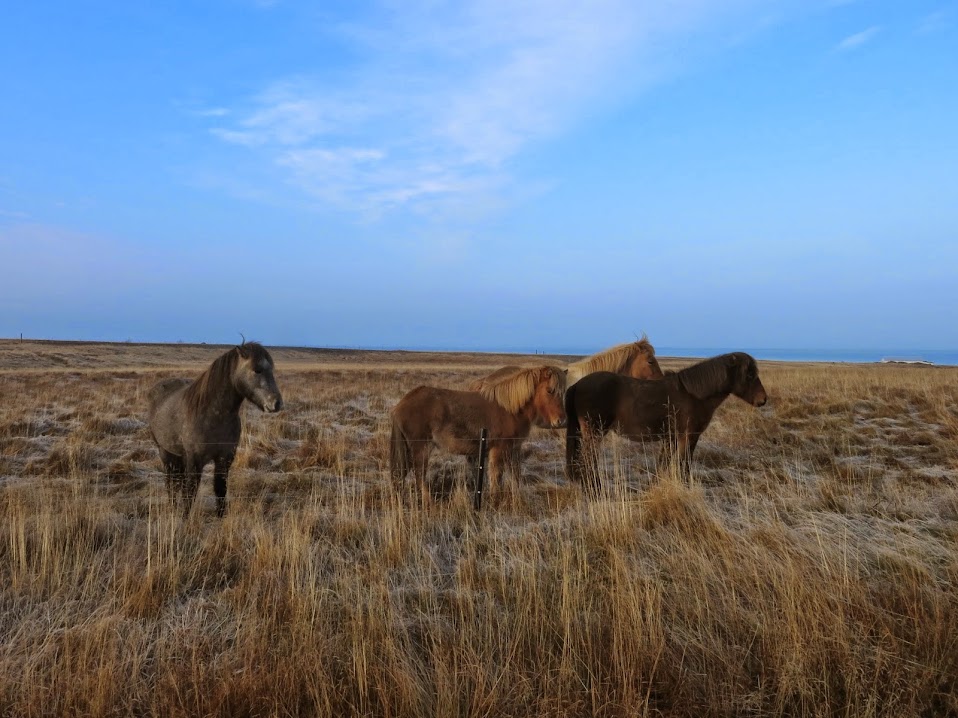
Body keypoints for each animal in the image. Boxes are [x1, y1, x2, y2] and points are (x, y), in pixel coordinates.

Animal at [146, 344, 282, 516]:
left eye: (271, 369)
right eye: (257, 369)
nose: (277, 403)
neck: (214, 415)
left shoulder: (225, 458)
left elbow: (220, 489)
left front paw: (220, 516)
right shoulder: (195, 460)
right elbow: (190, 492)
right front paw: (185, 518)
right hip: (164, 452)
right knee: (171, 482)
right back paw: (172, 507)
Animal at [392, 366, 568, 500]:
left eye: (563, 392)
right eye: (550, 390)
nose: (561, 421)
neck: (511, 409)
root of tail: (402, 403)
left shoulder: (513, 449)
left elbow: (515, 475)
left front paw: (516, 497)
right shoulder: (498, 449)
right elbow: (496, 475)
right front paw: (495, 499)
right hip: (421, 448)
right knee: (419, 474)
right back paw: (428, 500)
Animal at [568, 352, 768, 486]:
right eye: (749, 374)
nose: (763, 400)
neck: (693, 394)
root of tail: (578, 384)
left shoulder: (671, 438)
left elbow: (665, 464)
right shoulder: (689, 437)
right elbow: (684, 464)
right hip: (594, 434)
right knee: (587, 460)